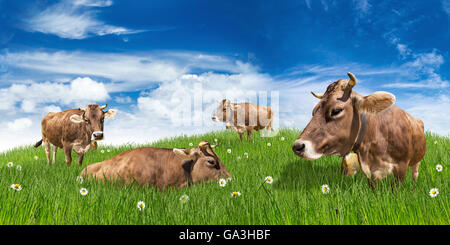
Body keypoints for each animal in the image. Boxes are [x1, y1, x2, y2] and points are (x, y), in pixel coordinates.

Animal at [292, 72, 426, 190]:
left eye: (336, 110)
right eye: (314, 111)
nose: (297, 146)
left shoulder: (401, 167)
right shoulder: (370, 170)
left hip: (417, 161)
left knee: (415, 177)